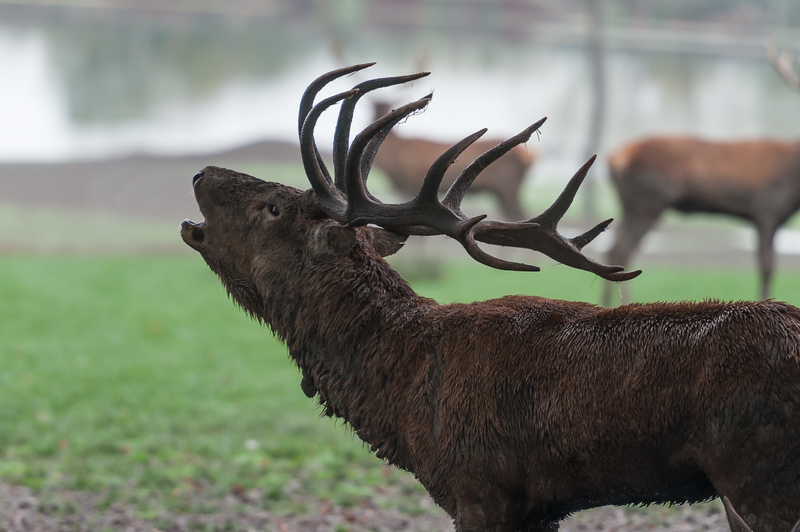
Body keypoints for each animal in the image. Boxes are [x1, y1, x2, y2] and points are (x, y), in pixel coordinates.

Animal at [370, 100, 536, 220]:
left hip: (507, 187)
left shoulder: (409, 183)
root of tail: (531, 157)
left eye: (387, 107)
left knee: (520, 215)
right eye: (373, 106)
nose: (378, 121)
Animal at [604, 43, 800, 306]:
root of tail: (613, 158)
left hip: (629, 204)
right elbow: (767, 267)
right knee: (622, 250)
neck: (792, 177)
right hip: (648, 201)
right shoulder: (766, 209)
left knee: (613, 250)